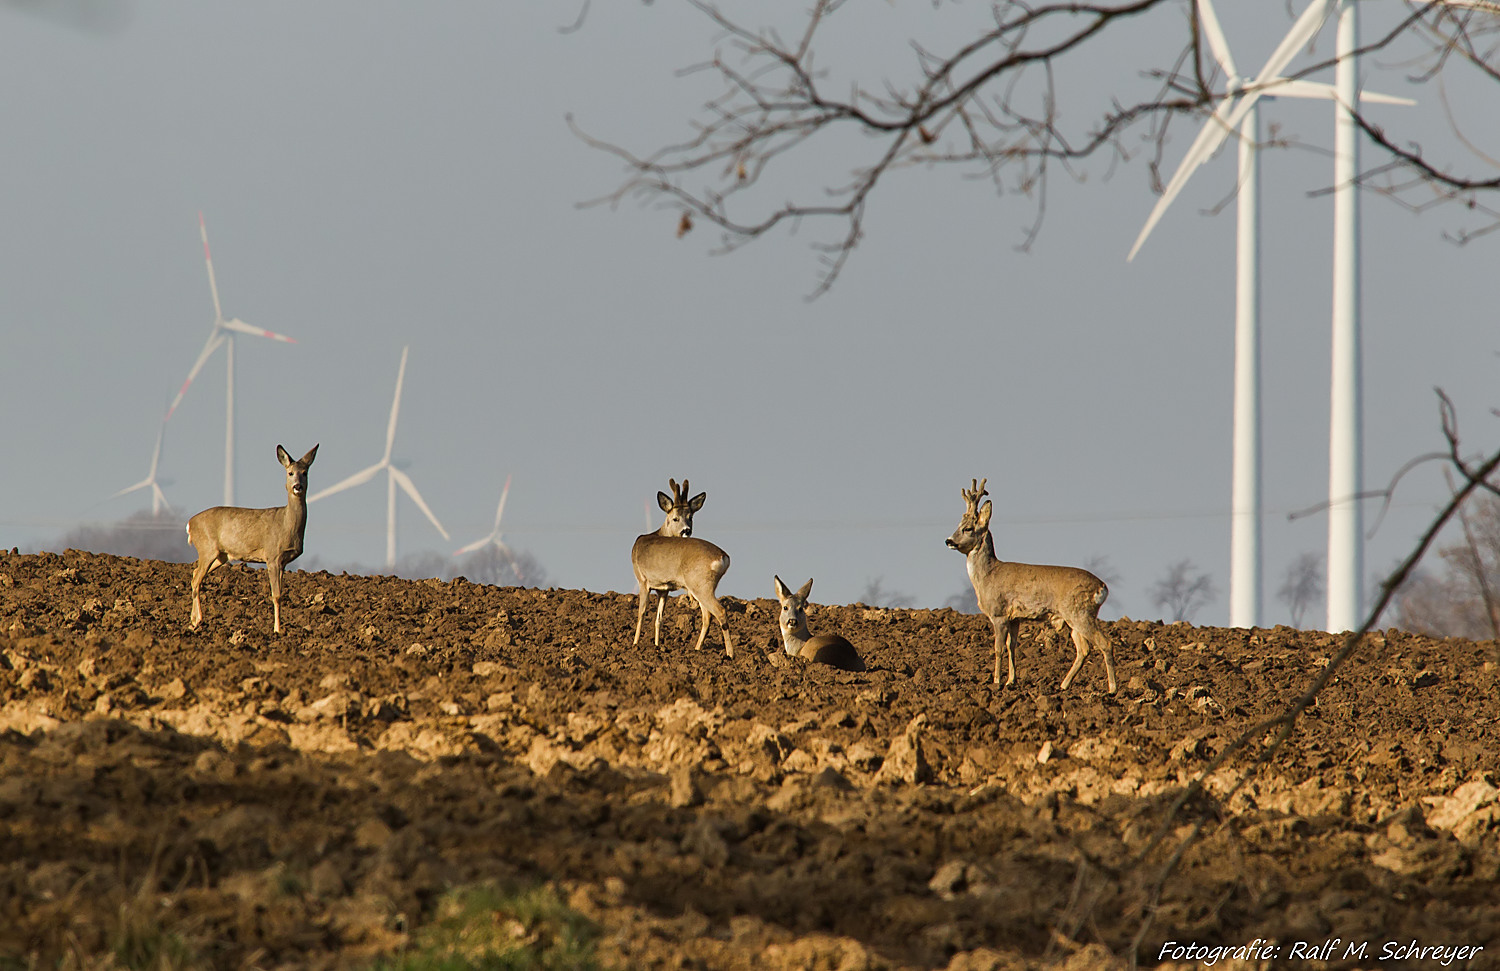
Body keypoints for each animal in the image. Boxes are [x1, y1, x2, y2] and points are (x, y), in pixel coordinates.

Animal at [187, 444, 319, 633]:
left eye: (305, 472)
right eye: (290, 472)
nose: (297, 486)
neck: (286, 524)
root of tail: (190, 523)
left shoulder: (284, 562)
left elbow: (281, 594)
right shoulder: (272, 556)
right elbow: (276, 595)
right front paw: (277, 630)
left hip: (221, 555)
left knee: (194, 574)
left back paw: (193, 620)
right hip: (206, 548)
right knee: (197, 579)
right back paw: (198, 621)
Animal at [627, 477, 732, 657]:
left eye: (691, 517)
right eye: (676, 518)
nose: (686, 530)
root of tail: (723, 557)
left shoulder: (643, 580)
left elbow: (641, 612)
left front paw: (635, 644)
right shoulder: (664, 589)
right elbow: (659, 618)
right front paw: (657, 646)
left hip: (700, 584)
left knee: (719, 611)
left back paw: (730, 654)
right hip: (703, 586)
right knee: (707, 616)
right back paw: (697, 649)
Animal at [942, 477, 1122, 690]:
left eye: (968, 528)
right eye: (958, 524)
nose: (948, 541)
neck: (987, 576)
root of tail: (1102, 587)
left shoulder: (999, 614)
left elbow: (998, 648)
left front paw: (996, 682)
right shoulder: (1015, 618)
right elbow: (1012, 647)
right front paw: (1011, 681)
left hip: (1080, 613)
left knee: (1105, 643)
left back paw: (1112, 689)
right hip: (1075, 617)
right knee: (1084, 649)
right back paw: (1063, 686)